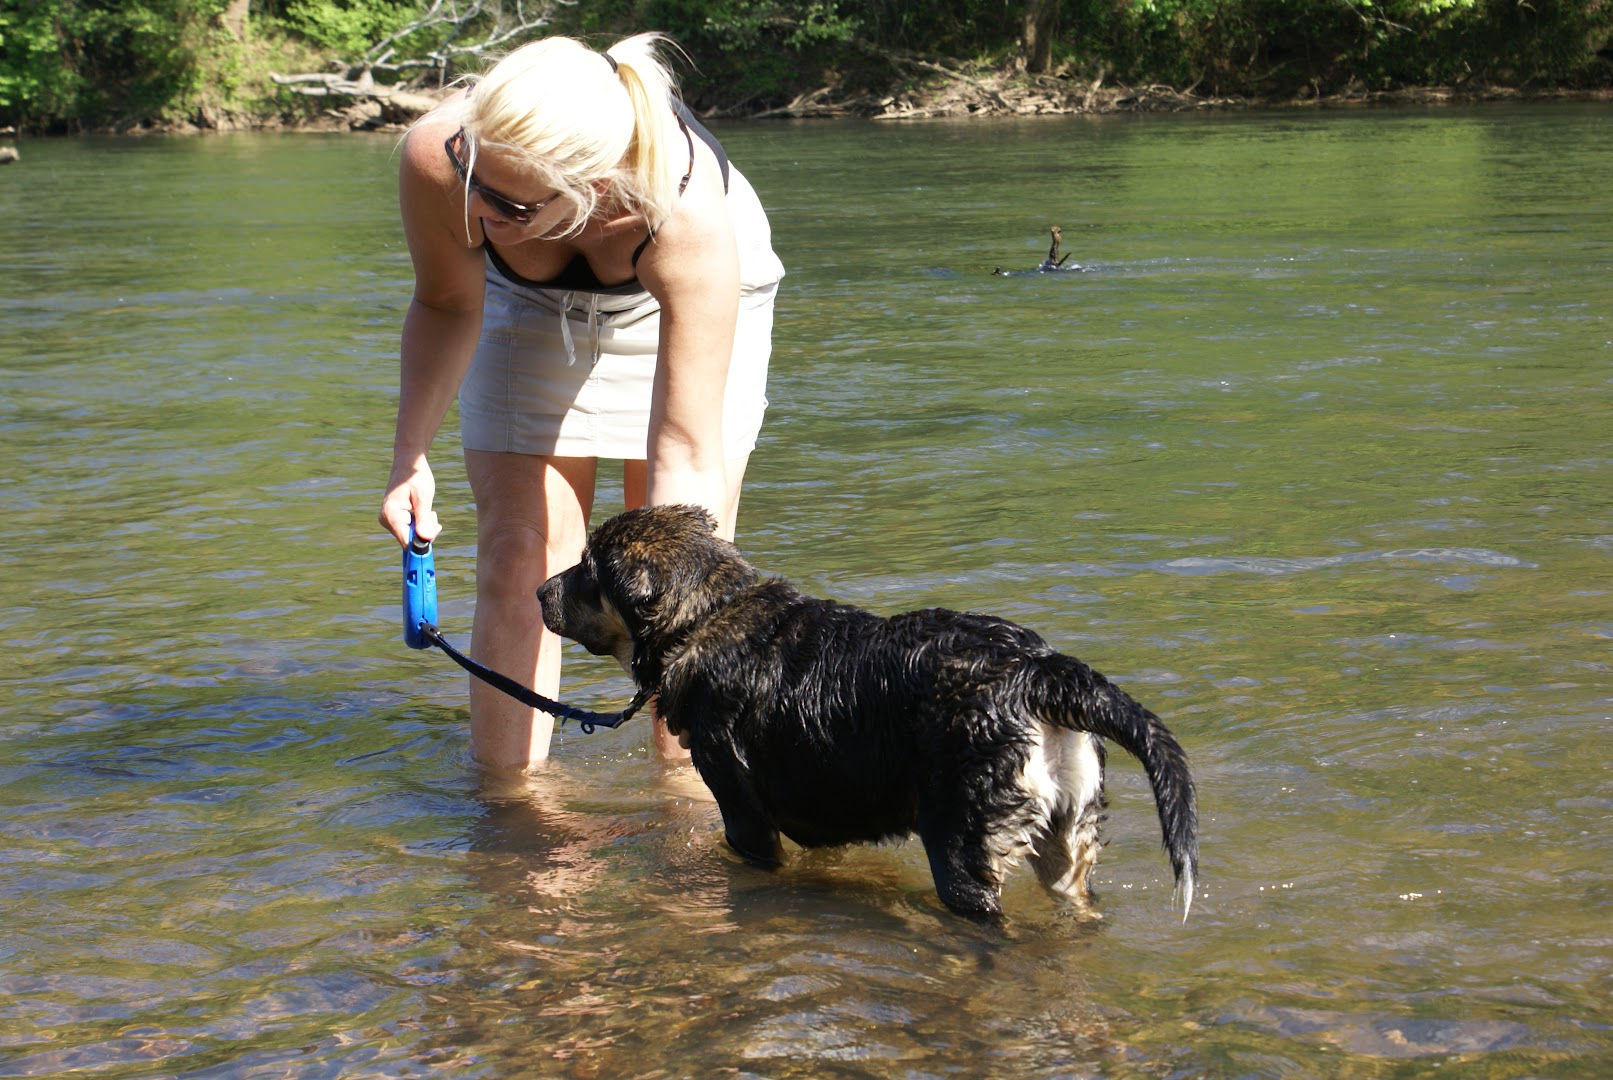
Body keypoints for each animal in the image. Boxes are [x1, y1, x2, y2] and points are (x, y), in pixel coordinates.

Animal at [541, 509, 1200, 922]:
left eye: (588, 571)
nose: (541, 590)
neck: (708, 614)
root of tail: (1036, 669)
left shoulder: (744, 814)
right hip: (1068, 837)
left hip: (962, 841)